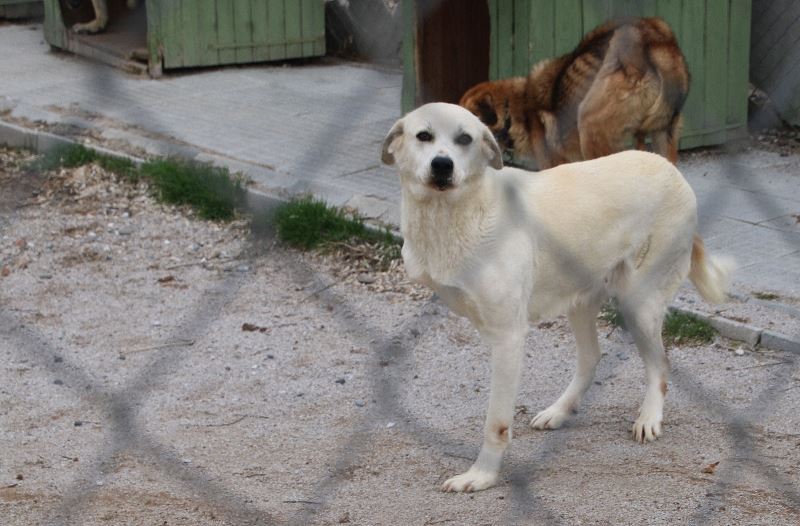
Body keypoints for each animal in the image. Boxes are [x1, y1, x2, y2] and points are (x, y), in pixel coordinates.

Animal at [382, 104, 732, 496]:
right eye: (423, 136)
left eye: (464, 139)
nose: (442, 165)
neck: (457, 212)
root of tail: (671, 170)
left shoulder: (508, 338)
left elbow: (495, 424)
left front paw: (482, 476)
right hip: (580, 299)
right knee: (592, 358)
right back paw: (559, 411)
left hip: (638, 303)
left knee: (660, 364)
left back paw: (649, 418)